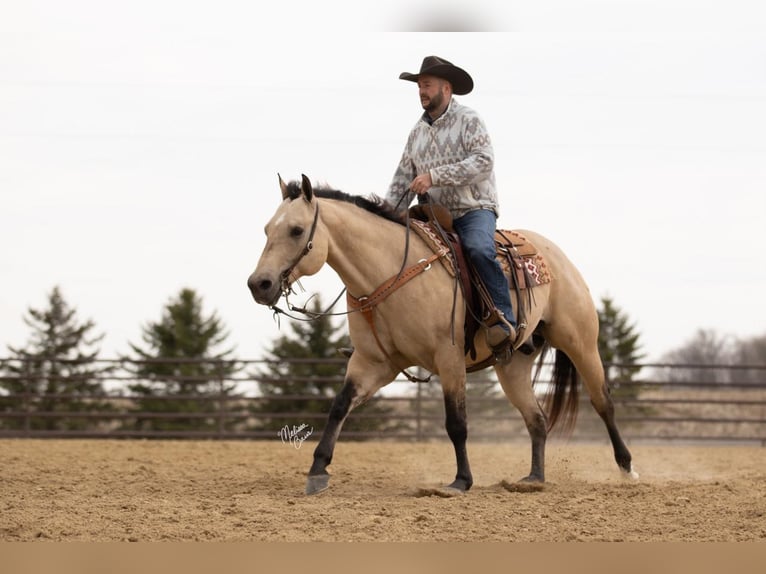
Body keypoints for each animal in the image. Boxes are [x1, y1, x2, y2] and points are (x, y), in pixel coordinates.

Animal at [249, 176, 640, 496]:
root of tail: (556, 255)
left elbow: (456, 423)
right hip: (513, 365)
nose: (259, 284)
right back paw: (533, 479)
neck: (392, 271)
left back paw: (627, 470)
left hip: (580, 343)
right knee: (537, 418)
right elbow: (339, 407)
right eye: (267, 229)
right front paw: (317, 471)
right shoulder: (373, 363)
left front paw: (461, 481)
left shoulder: (448, 357)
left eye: (296, 230)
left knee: (603, 402)